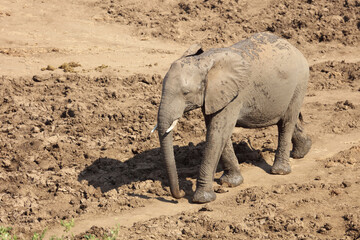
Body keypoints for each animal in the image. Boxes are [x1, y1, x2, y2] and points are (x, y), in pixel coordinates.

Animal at [156, 31, 310, 203]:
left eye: (186, 93)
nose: (181, 194)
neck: (204, 61)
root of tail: (294, 48)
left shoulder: (234, 95)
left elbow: (217, 133)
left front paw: (202, 199)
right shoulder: (213, 96)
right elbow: (219, 132)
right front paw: (230, 183)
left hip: (300, 82)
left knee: (286, 122)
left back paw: (280, 171)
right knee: (286, 120)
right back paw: (302, 151)